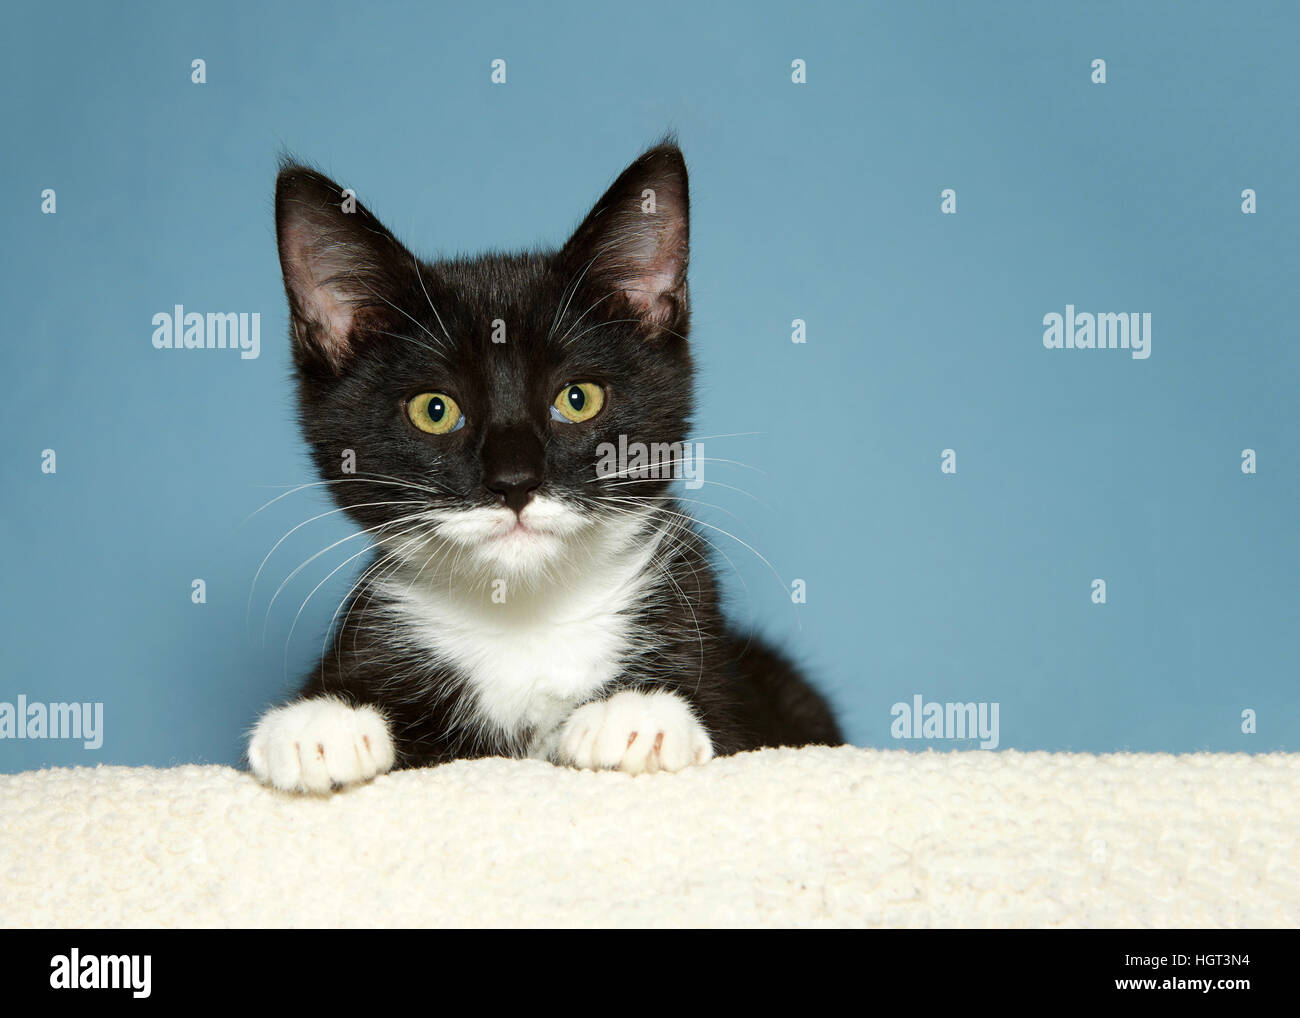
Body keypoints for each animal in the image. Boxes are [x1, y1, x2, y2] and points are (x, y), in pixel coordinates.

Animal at [249, 143, 842, 790]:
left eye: (578, 398)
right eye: (434, 409)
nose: (514, 483)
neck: (525, 619)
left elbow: (726, 726)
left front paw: (638, 713)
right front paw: (322, 721)